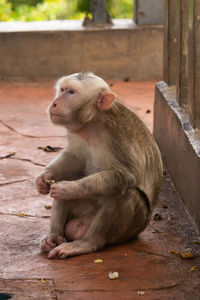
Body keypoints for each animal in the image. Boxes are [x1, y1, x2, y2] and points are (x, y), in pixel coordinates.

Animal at [34, 71, 162, 258]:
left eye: (71, 92)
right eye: (62, 90)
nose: (55, 103)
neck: (92, 124)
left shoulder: (118, 136)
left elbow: (126, 175)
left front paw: (68, 188)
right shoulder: (76, 133)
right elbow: (74, 158)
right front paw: (43, 178)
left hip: (130, 230)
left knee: (128, 194)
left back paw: (87, 243)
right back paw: (54, 236)